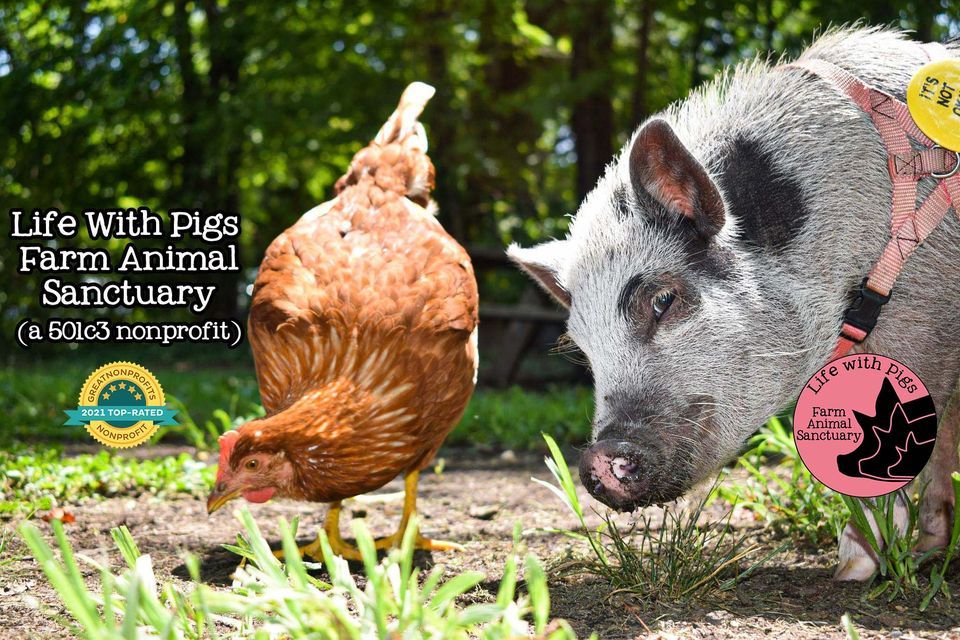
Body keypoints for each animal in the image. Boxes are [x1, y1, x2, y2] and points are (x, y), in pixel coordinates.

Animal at [508, 27, 960, 581]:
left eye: (663, 299)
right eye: (583, 348)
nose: (598, 456)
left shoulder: (925, 319)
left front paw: (854, 570)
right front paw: (917, 555)